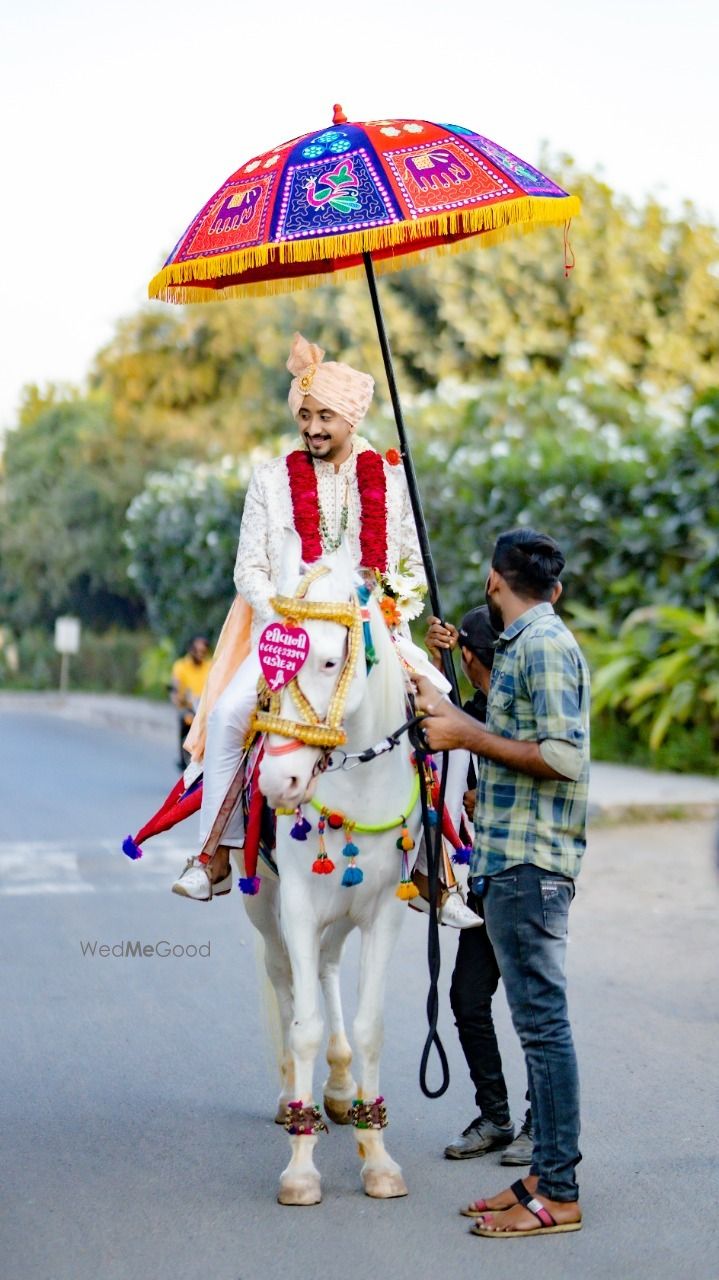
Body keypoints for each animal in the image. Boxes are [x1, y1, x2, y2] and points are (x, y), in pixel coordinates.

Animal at [240, 540, 419, 1208]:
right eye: (271, 664)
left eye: (327, 660)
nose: (278, 782)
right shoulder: (296, 905)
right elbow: (304, 1027)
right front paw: (300, 1168)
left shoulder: (385, 909)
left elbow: (369, 1026)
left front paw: (377, 1158)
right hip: (266, 912)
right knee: (290, 979)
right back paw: (294, 1094)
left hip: (343, 912)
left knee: (328, 966)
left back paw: (341, 1091)